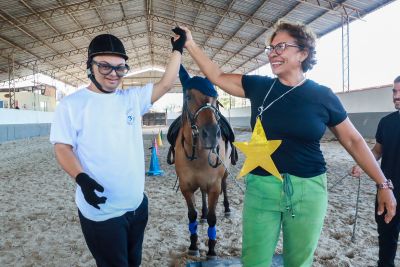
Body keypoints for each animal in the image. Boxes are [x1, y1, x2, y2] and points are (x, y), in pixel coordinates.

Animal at [173, 88, 233, 260]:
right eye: (188, 96)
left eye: (216, 97)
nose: (211, 134)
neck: (198, 152)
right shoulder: (186, 187)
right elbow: (192, 215)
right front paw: (193, 246)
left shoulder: (214, 187)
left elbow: (213, 218)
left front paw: (211, 251)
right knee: (203, 194)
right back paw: (203, 214)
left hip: (224, 174)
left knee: (225, 186)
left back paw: (227, 209)